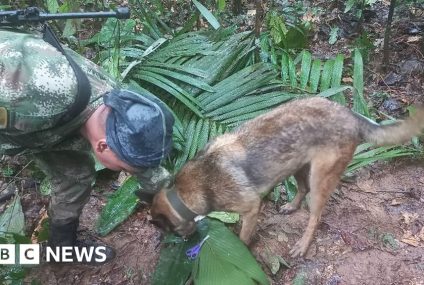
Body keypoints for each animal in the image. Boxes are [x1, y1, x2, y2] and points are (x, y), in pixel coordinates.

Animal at [147, 96, 424, 256]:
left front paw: (241, 249)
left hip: (320, 178)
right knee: (301, 189)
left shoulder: (251, 207)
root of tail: (352, 115)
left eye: (170, 231)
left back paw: (303, 244)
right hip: (298, 166)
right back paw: (291, 206)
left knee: (315, 215)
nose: (183, 241)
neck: (184, 193)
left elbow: (243, 236)